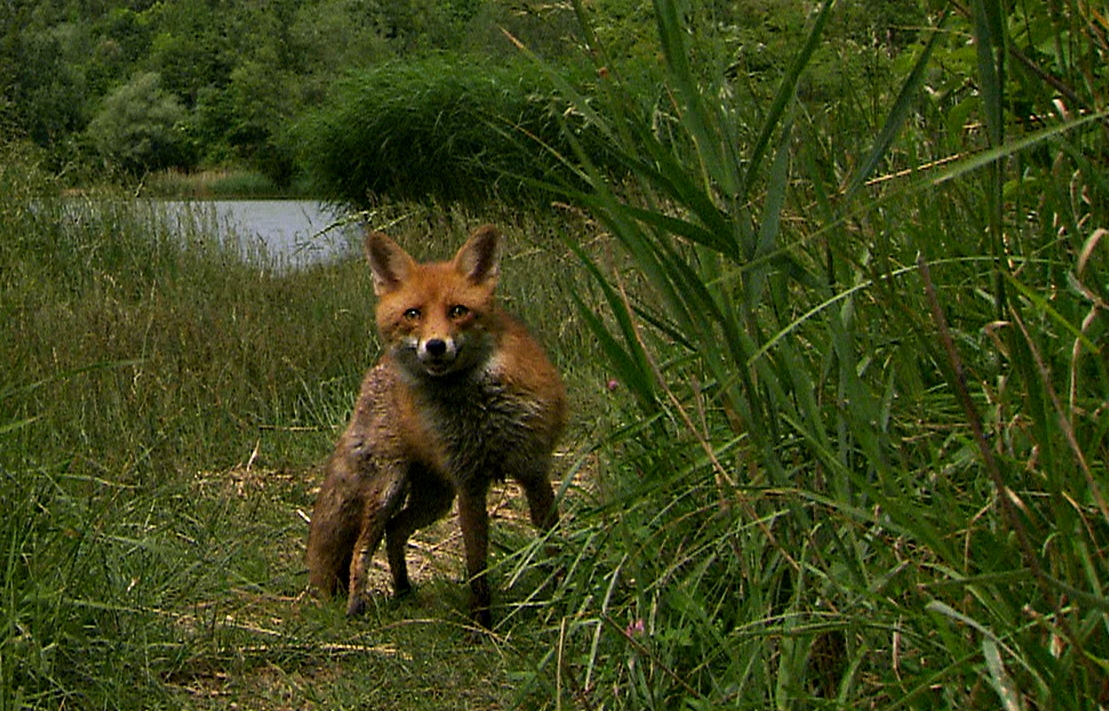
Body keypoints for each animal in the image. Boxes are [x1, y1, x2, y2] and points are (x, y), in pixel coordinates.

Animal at [306, 222, 567, 625]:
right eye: (413, 314)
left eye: (458, 311)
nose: (435, 346)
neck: (480, 412)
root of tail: (377, 369)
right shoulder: (469, 485)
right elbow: (476, 569)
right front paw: (481, 626)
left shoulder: (534, 471)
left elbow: (552, 545)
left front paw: (562, 601)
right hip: (390, 487)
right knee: (364, 545)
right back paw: (357, 606)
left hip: (435, 497)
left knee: (395, 530)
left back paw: (403, 590)